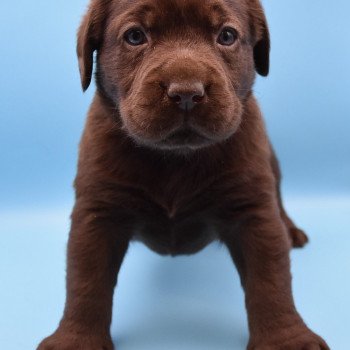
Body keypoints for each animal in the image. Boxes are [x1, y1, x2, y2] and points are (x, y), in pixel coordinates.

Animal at [37, 0, 328, 348]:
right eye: (135, 36)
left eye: (227, 36)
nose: (187, 92)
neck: (177, 157)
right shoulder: (97, 212)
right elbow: (86, 282)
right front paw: (77, 339)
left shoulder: (253, 209)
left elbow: (270, 280)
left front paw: (286, 339)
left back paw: (291, 231)